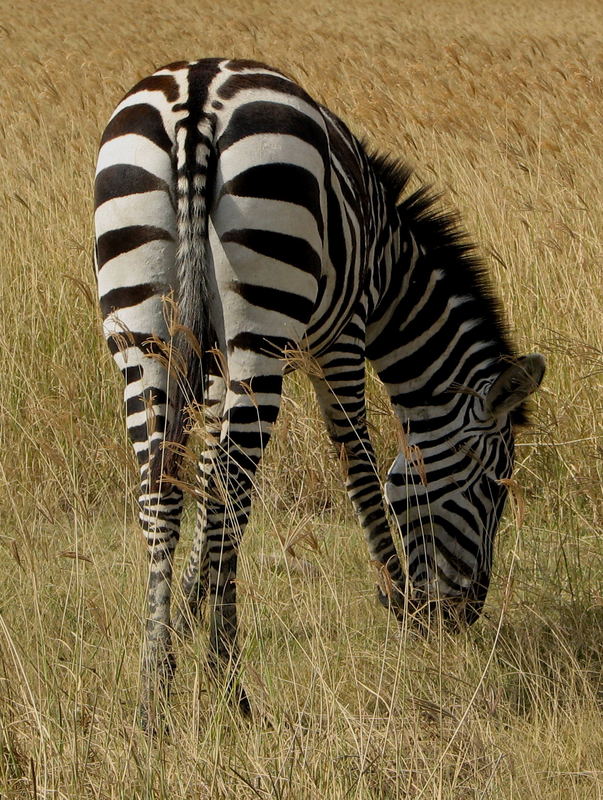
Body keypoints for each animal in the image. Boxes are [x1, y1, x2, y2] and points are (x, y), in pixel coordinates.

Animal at [94, 59, 548, 728]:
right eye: (493, 488)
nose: (462, 617)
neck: (389, 270)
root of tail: (195, 97)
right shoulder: (342, 338)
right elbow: (358, 462)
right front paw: (397, 598)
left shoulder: (212, 356)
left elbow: (202, 471)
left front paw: (190, 606)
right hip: (265, 307)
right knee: (234, 485)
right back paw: (229, 683)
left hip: (142, 325)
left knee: (161, 485)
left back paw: (155, 689)